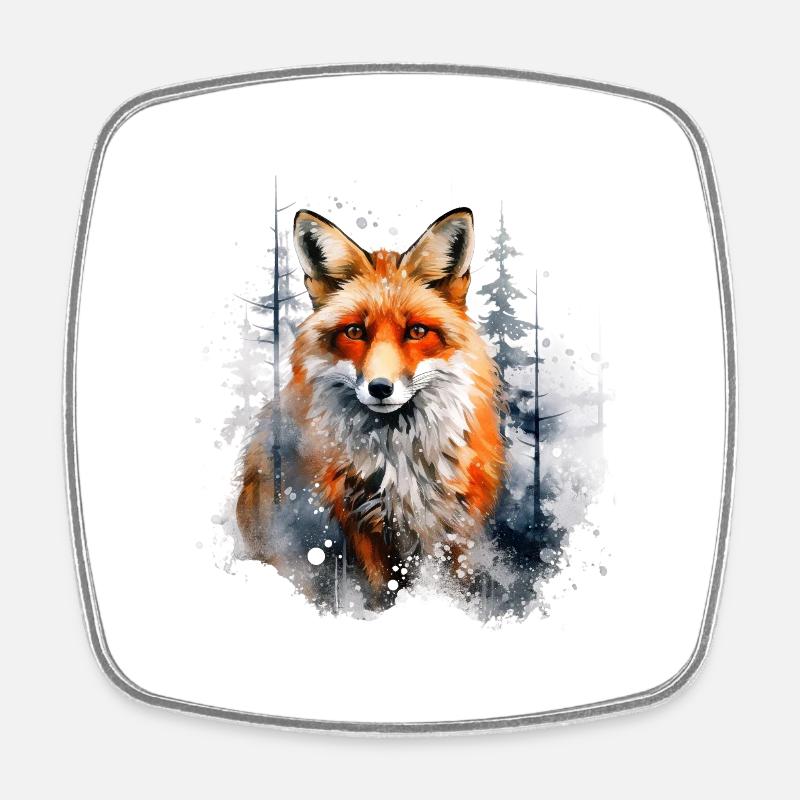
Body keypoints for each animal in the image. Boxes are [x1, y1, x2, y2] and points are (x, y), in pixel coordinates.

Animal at [236, 207, 505, 597]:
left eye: (417, 331)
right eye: (355, 331)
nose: (380, 388)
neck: (401, 461)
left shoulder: (456, 529)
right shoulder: (362, 528)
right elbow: (380, 594)